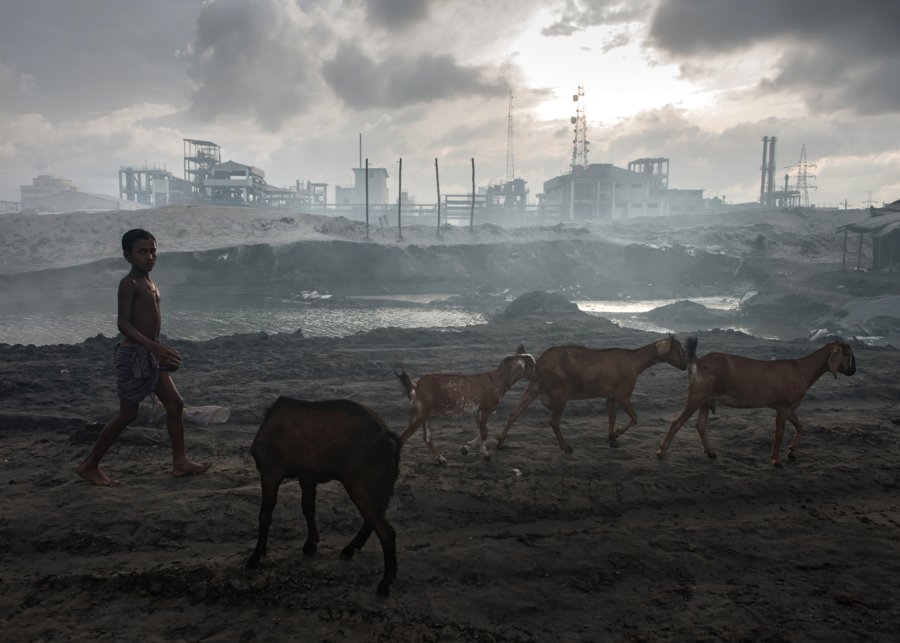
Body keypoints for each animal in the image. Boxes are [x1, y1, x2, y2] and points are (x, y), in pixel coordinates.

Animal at [246, 398, 400, 600]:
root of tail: (387, 438)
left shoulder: (270, 470)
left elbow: (265, 515)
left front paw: (256, 556)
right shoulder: (307, 475)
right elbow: (308, 508)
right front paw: (310, 544)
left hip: (359, 483)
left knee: (386, 531)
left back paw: (384, 583)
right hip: (381, 485)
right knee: (374, 520)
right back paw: (350, 549)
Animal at [394, 348, 536, 462]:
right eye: (533, 364)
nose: (537, 376)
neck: (497, 381)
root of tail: (416, 386)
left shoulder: (479, 412)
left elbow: (485, 429)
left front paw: (467, 448)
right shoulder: (485, 410)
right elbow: (484, 432)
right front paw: (485, 454)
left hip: (426, 417)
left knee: (427, 438)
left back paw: (440, 459)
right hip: (418, 416)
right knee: (404, 437)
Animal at [496, 338, 684, 452]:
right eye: (677, 349)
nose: (685, 365)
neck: (634, 362)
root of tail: (540, 363)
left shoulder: (610, 396)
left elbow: (611, 418)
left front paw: (612, 439)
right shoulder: (623, 395)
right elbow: (635, 418)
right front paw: (614, 435)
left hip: (534, 388)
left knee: (514, 413)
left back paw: (500, 441)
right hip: (561, 394)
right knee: (553, 421)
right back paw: (565, 447)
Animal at [652, 338, 856, 468]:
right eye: (847, 355)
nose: (853, 371)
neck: (802, 370)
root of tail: (698, 361)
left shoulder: (788, 407)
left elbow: (801, 426)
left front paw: (792, 452)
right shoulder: (782, 407)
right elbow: (779, 434)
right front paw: (776, 460)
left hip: (706, 399)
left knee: (700, 424)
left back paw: (711, 453)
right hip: (697, 394)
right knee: (677, 422)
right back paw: (661, 452)